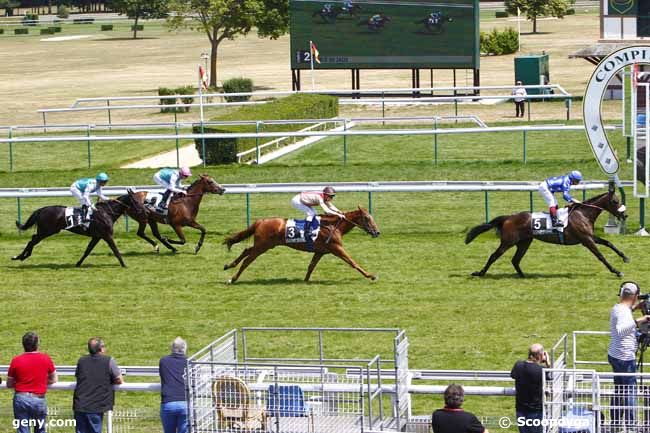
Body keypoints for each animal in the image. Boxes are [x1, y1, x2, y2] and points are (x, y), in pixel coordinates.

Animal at [11, 190, 146, 266]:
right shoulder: (107, 235)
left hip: (47, 231)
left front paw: (78, 263)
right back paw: (19, 257)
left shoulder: (97, 236)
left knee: (33, 240)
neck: (106, 212)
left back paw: (22, 256)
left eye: (141, 200)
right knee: (32, 240)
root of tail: (41, 209)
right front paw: (124, 264)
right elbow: (115, 250)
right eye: (135, 201)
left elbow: (88, 250)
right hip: (46, 231)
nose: (144, 210)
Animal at [223, 207, 380, 284]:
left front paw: (305, 280)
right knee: (247, 260)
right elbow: (352, 262)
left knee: (246, 250)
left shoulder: (321, 251)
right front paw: (370, 275)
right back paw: (233, 279)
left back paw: (228, 265)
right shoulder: (336, 248)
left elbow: (311, 266)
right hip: (262, 246)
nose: (377, 232)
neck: (333, 225)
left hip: (263, 245)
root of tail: (261, 221)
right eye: (367, 218)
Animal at [466, 189, 628, 276]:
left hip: (524, 242)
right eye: (615, 201)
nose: (625, 215)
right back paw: (480, 273)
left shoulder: (590, 236)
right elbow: (600, 255)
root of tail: (508, 218)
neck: (583, 213)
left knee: (515, 260)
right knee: (494, 256)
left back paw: (523, 276)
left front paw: (625, 257)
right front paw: (616, 271)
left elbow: (608, 242)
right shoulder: (586, 240)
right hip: (508, 242)